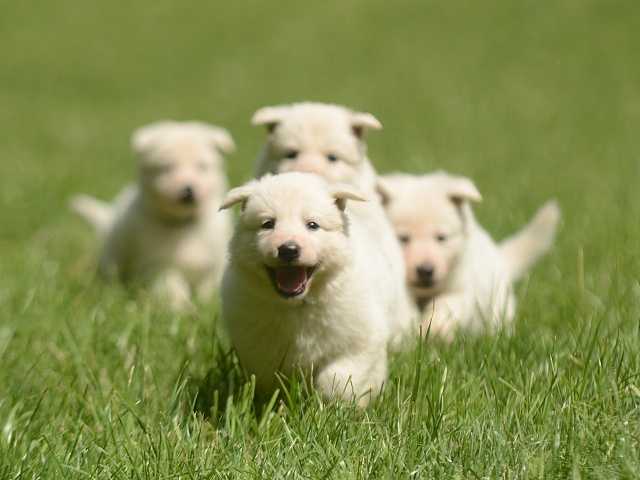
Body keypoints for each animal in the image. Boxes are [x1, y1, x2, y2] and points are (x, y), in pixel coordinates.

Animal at [70, 120, 235, 312]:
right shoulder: (160, 266)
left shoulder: (214, 263)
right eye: (166, 167)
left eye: (201, 166)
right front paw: (182, 309)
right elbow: (172, 289)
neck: (183, 225)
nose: (188, 190)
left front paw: (208, 305)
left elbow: (210, 288)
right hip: (114, 255)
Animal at [221, 172, 400, 404]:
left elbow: (337, 377)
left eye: (312, 225)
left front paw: (334, 404)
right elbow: (271, 380)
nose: (288, 249)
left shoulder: (359, 340)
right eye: (268, 224)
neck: (298, 305)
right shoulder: (260, 347)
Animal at [380, 171, 560, 340]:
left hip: (498, 305)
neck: (425, 294)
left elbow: (446, 305)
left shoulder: (463, 289)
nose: (425, 270)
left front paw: (436, 332)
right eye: (403, 238)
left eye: (441, 237)